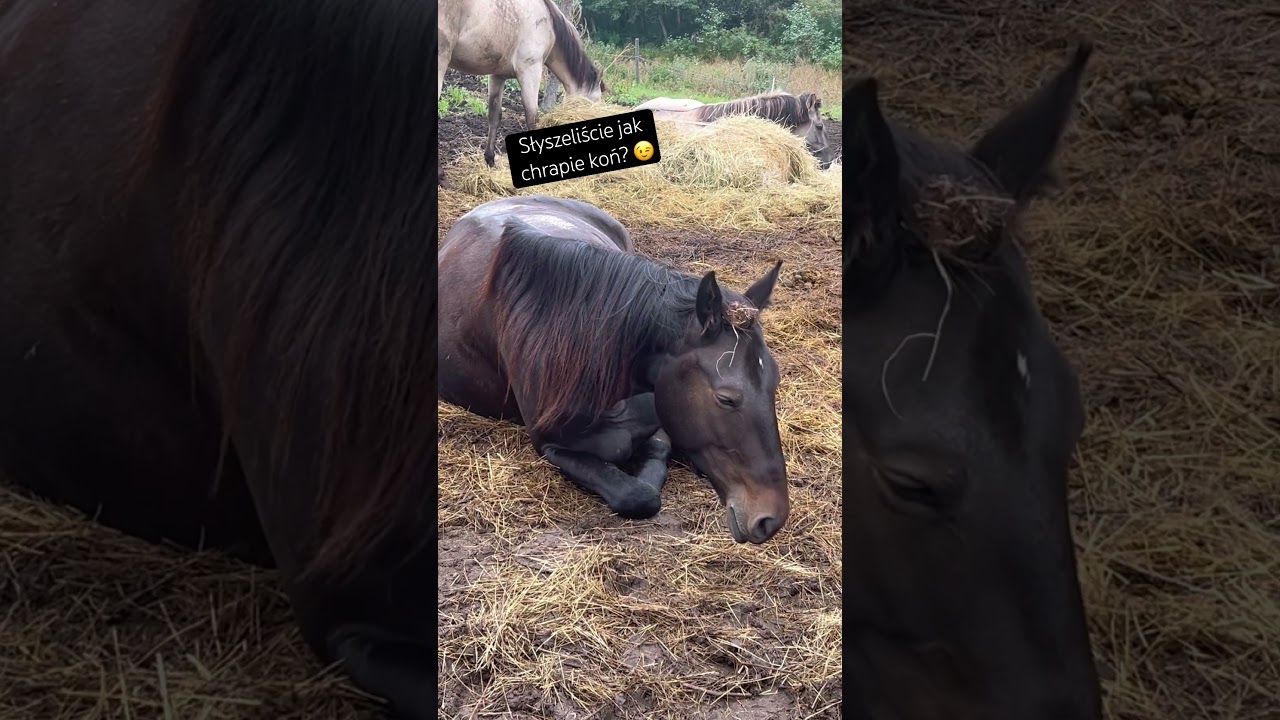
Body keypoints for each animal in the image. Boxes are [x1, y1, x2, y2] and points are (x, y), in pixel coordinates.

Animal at [438, 0, 607, 169]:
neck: (549, 23)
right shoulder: (530, 71)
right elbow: (531, 118)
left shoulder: (497, 76)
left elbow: (494, 116)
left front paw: (490, 160)